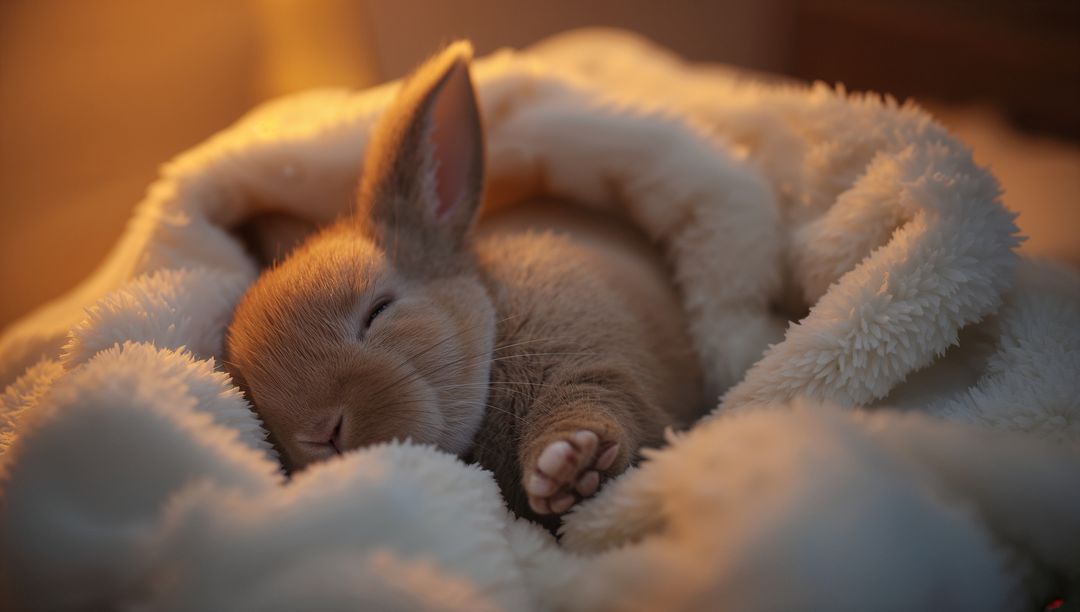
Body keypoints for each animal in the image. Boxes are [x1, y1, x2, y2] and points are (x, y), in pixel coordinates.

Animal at [224, 41, 703, 523]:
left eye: (379, 310)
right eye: (251, 395)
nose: (321, 432)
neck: (494, 327)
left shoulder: (598, 361)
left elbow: (594, 404)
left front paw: (566, 463)